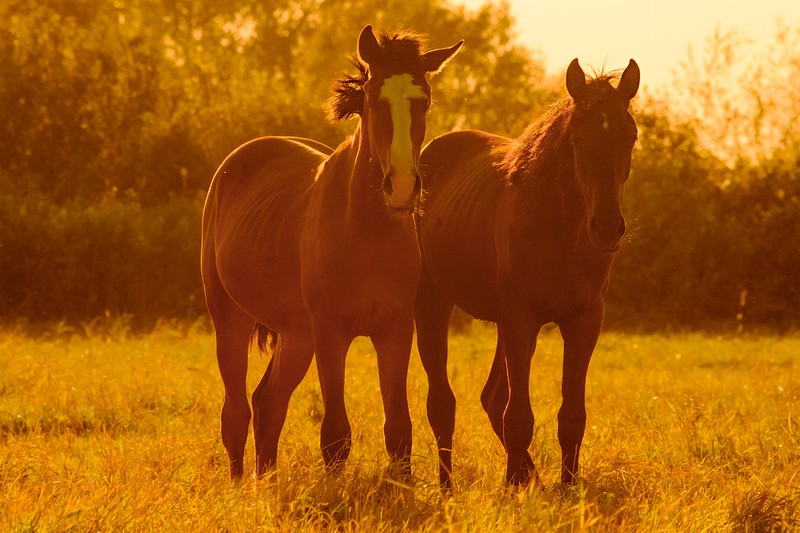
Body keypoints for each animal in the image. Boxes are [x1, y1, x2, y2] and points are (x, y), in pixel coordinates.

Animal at [200, 25, 462, 480]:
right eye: (374, 100)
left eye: (424, 100)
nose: (402, 188)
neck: (366, 231)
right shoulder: (330, 333)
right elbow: (336, 434)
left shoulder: (395, 330)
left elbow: (399, 429)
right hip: (231, 318)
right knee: (235, 411)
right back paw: (239, 487)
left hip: (295, 335)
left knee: (267, 402)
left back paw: (265, 483)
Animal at [416, 58, 640, 486]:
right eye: (577, 139)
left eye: (631, 136)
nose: (606, 228)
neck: (559, 228)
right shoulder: (521, 319)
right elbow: (519, 416)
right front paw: (514, 489)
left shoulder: (583, 321)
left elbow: (572, 417)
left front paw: (566, 487)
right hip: (434, 303)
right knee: (442, 403)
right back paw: (450, 486)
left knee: (491, 398)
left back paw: (528, 477)